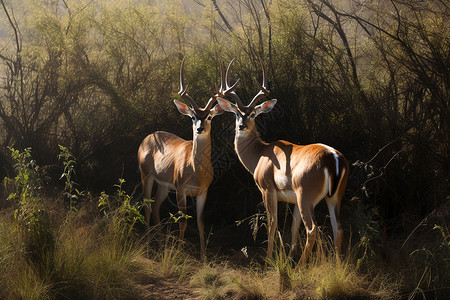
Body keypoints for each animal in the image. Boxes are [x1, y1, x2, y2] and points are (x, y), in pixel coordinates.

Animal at [137, 56, 237, 258]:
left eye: (209, 117)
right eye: (192, 117)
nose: (199, 129)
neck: (196, 170)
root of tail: (147, 138)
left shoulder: (203, 192)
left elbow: (200, 222)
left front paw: (203, 257)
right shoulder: (181, 188)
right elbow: (183, 220)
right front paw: (180, 252)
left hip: (164, 185)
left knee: (156, 206)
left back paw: (161, 242)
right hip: (146, 175)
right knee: (147, 205)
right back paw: (149, 243)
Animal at [216, 59, 350, 268]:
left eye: (253, 114)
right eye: (237, 113)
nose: (242, 126)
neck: (261, 154)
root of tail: (333, 159)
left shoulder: (267, 190)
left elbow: (272, 224)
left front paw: (269, 260)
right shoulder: (293, 200)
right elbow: (293, 227)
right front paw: (288, 259)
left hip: (306, 198)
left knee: (312, 229)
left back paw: (301, 266)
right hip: (333, 198)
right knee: (338, 230)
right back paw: (335, 267)